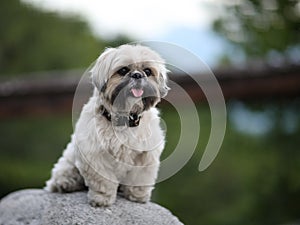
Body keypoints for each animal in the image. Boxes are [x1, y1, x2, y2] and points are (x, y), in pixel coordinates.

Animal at [45, 43, 170, 207]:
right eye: (123, 70)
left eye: (148, 71)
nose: (137, 75)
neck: (124, 118)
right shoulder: (95, 155)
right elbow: (102, 181)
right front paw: (101, 198)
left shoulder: (145, 155)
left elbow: (139, 178)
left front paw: (137, 196)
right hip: (69, 161)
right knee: (63, 173)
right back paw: (65, 183)